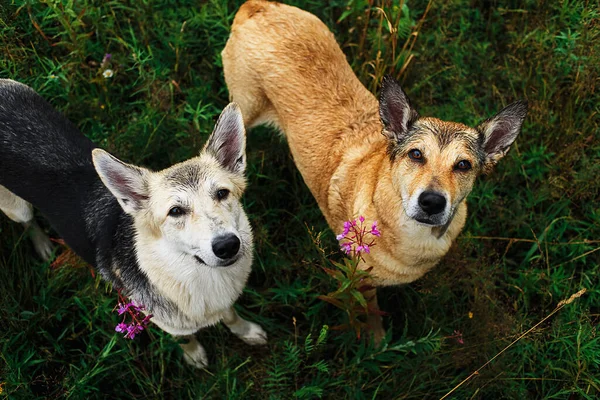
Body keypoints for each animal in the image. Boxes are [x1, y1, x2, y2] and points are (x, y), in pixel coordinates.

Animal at [0, 80, 268, 368]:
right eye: (175, 211)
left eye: (222, 193)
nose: (227, 245)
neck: (191, 274)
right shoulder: (169, 323)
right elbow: (185, 338)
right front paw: (193, 354)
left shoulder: (222, 300)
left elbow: (230, 315)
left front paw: (246, 331)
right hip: (16, 208)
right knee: (28, 222)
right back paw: (42, 245)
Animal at [220, 1, 524, 342]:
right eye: (416, 154)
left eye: (463, 165)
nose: (432, 202)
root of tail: (258, 7)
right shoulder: (360, 278)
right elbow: (370, 314)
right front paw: (376, 344)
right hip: (245, 109)